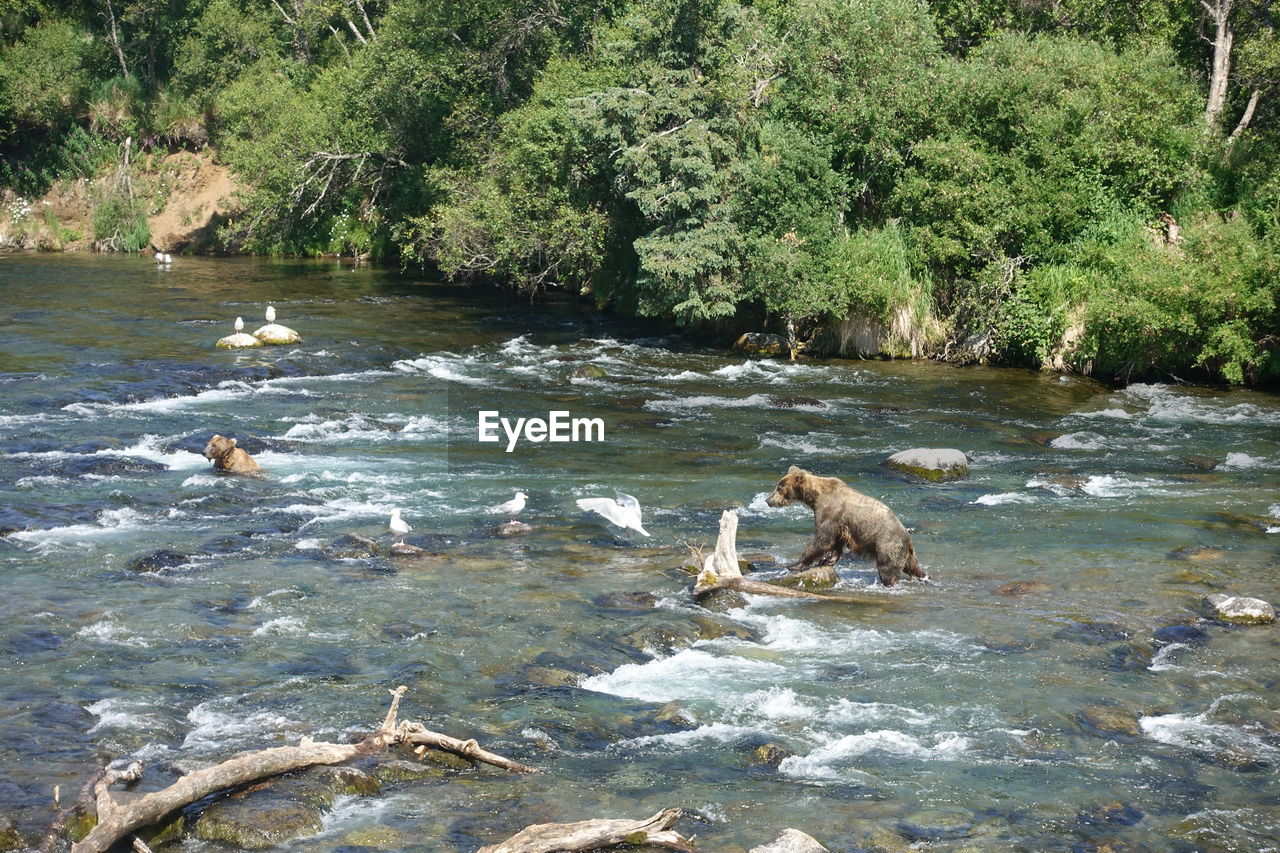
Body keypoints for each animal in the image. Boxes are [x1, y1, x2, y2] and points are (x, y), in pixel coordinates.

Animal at [762, 466, 926, 584]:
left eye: (779, 488)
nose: (768, 500)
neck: (815, 497)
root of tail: (907, 536)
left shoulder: (830, 512)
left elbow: (822, 539)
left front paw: (794, 565)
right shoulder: (840, 524)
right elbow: (836, 542)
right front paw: (827, 560)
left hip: (887, 544)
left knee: (888, 569)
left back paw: (888, 582)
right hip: (906, 553)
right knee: (913, 567)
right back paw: (924, 577)